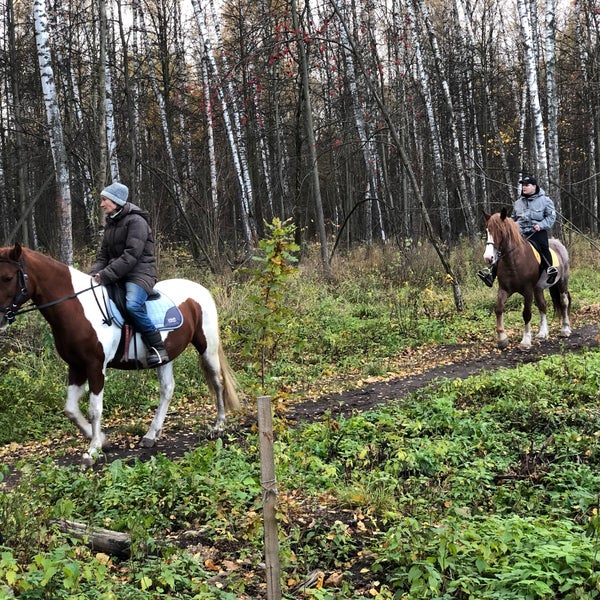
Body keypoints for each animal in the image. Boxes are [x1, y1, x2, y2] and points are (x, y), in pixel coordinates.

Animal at [0, 243, 240, 465]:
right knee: (167, 389)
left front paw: (92, 450)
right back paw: (152, 434)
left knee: (217, 382)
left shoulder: (95, 366)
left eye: (7, 277)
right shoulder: (76, 366)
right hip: (165, 356)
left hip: (207, 347)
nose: (1, 318)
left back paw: (218, 425)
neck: (78, 308)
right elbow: (70, 409)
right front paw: (103, 440)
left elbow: (94, 409)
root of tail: (200, 289)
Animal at [482, 209, 572, 351]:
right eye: (487, 231)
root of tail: (558, 243)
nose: (488, 257)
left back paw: (565, 329)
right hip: (539, 288)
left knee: (564, 302)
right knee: (543, 306)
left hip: (562, 282)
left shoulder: (528, 291)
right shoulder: (504, 290)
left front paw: (525, 341)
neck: (514, 261)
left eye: (500, 231)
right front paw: (502, 339)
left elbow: (526, 313)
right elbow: (498, 308)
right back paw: (542, 333)